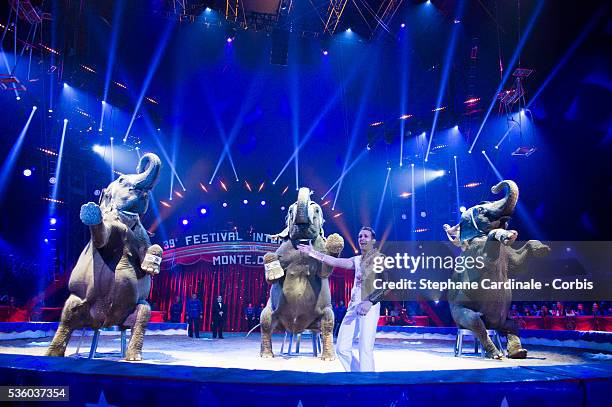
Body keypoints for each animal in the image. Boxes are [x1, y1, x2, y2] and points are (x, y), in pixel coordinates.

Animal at [46, 155, 163, 362]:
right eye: (122, 180)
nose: (140, 163)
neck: (126, 219)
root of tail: (102, 322)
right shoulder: (110, 226)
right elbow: (102, 238)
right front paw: (91, 211)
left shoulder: (141, 234)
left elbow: (148, 251)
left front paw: (151, 267)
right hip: (77, 300)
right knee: (67, 318)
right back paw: (53, 354)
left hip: (133, 309)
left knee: (143, 313)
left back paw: (133, 357)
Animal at [260, 187, 344, 360]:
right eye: (290, 211)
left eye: (317, 210)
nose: (309, 192)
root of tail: (295, 328)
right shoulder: (283, 250)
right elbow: (271, 278)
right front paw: (273, 271)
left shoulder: (320, 251)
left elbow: (325, 271)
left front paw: (335, 241)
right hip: (270, 310)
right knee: (265, 323)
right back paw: (266, 355)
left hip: (324, 313)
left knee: (327, 325)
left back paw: (327, 357)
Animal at [440, 180, 548, 358]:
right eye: (481, 210)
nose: (494, 187)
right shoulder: (475, 252)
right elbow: (486, 259)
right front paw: (507, 235)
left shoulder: (507, 254)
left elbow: (517, 266)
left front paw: (542, 249)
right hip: (460, 313)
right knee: (475, 322)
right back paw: (496, 353)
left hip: (503, 320)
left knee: (512, 325)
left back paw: (518, 352)